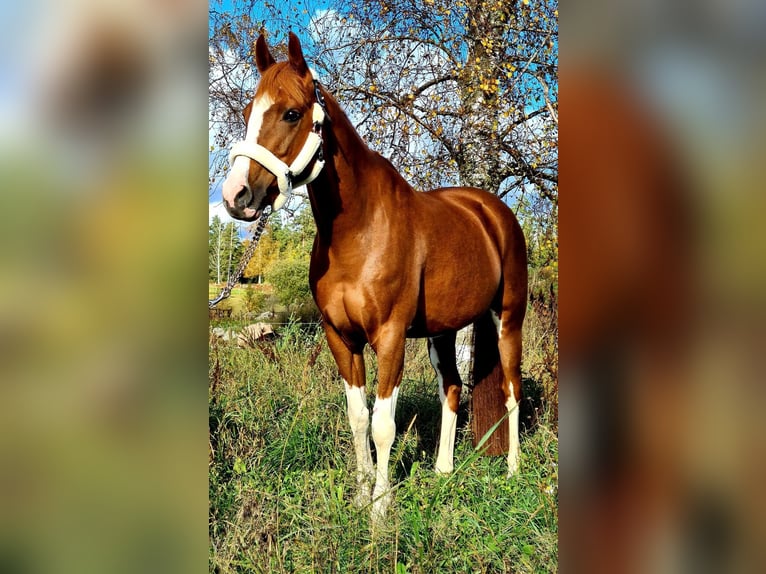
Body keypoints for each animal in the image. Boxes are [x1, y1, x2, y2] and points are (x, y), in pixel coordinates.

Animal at [221, 32, 528, 524]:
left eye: (291, 113)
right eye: (249, 112)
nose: (236, 196)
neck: (359, 230)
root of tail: (493, 212)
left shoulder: (389, 336)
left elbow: (384, 424)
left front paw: (380, 511)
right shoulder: (341, 337)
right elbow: (358, 417)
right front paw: (362, 495)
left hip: (508, 318)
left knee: (511, 389)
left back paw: (514, 469)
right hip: (442, 331)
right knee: (452, 389)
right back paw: (443, 470)